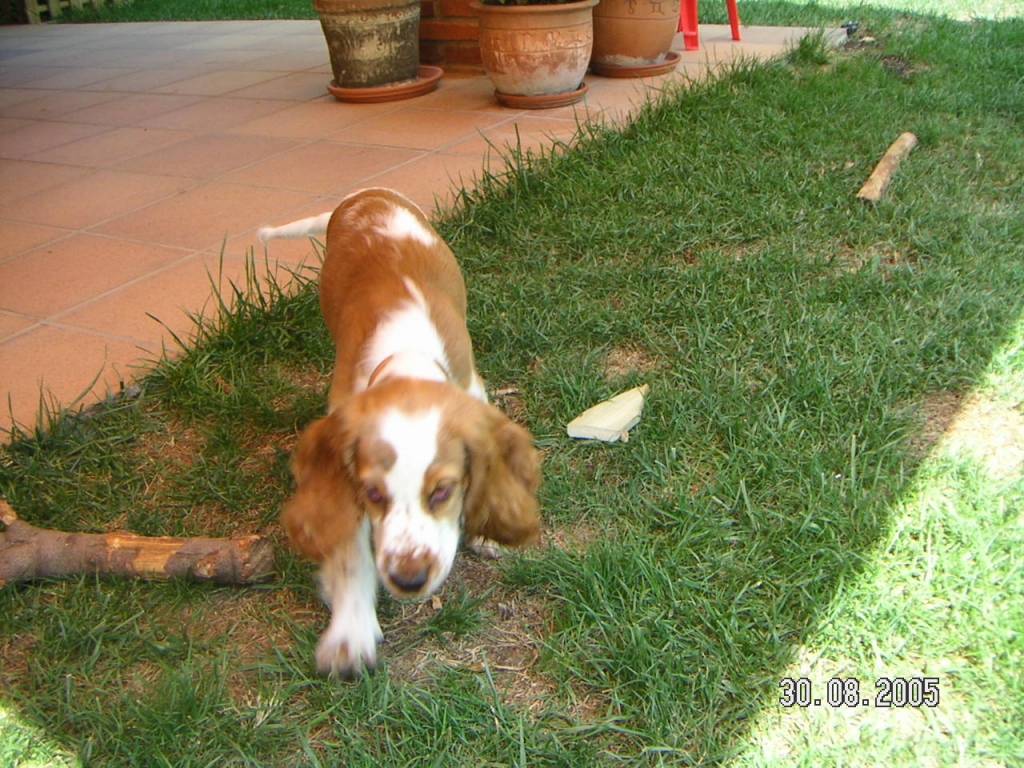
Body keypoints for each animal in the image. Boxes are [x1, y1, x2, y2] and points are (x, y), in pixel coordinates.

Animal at [259, 188, 541, 678]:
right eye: (373, 494)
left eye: (443, 492)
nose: (409, 579)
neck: (406, 360)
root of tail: (365, 194)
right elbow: (350, 554)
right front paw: (349, 636)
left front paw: (488, 532)